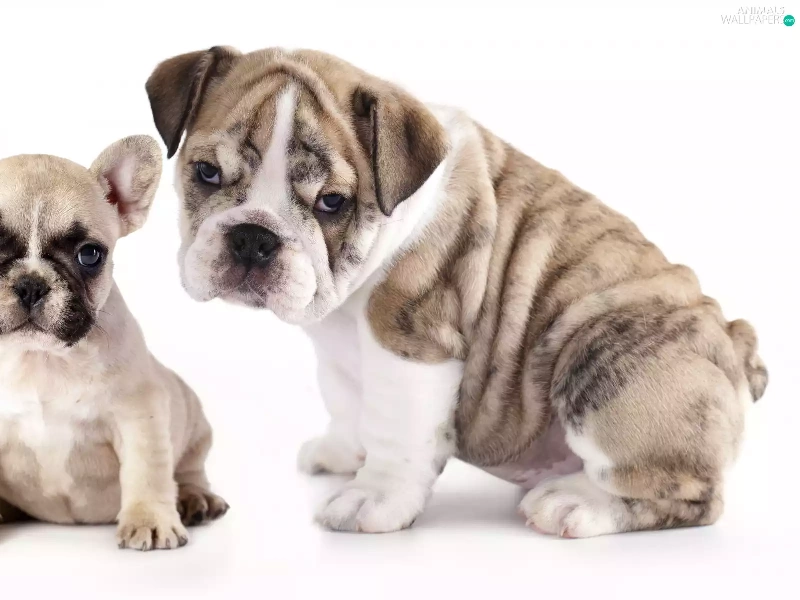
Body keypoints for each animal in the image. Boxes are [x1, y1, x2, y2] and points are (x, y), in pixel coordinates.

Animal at [0, 136, 228, 550]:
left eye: (89, 254)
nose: (31, 284)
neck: (39, 359)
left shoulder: (140, 414)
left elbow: (146, 471)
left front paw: (150, 520)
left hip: (194, 423)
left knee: (189, 469)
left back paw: (195, 499)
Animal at [146, 47, 767, 537]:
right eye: (205, 172)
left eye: (332, 203)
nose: (254, 238)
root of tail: (734, 344)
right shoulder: (342, 351)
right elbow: (347, 401)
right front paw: (343, 452)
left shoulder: (411, 343)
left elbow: (396, 433)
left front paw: (373, 497)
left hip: (602, 360)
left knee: (687, 493)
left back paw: (577, 505)